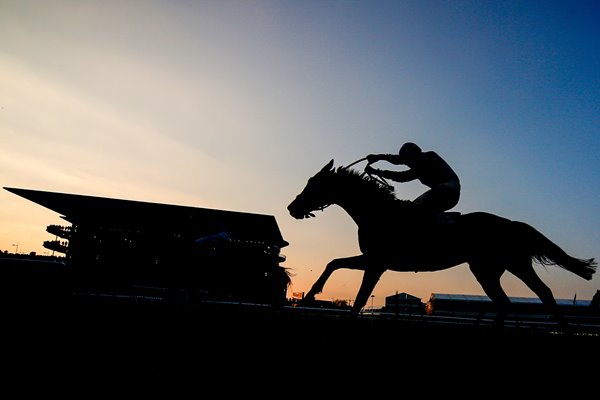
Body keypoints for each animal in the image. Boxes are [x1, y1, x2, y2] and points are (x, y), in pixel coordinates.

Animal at [288, 158, 596, 326]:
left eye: (314, 183)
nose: (292, 208)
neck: (379, 213)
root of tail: (511, 223)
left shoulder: (377, 263)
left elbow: (361, 296)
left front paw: (315, 297)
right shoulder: (372, 260)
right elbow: (334, 263)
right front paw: (311, 293)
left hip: (513, 264)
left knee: (543, 294)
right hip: (488, 270)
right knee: (506, 302)